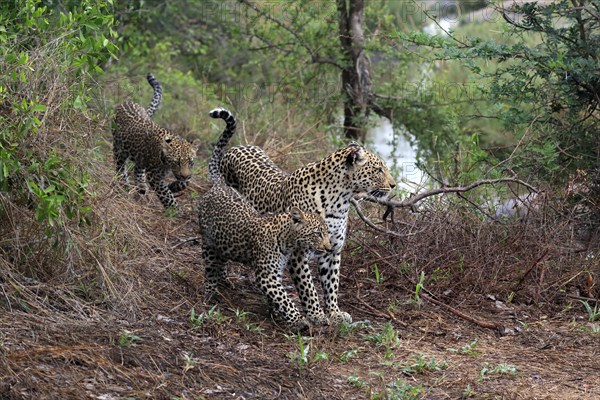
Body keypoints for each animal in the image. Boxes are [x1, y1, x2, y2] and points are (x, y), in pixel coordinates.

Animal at [198, 108, 330, 332]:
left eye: (327, 233)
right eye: (317, 234)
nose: (329, 248)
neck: (288, 240)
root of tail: (220, 185)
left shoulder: (275, 273)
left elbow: (278, 298)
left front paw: (276, 313)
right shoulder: (267, 275)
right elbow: (285, 299)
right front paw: (299, 321)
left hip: (223, 241)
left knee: (221, 260)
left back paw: (225, 282)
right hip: (207, 241)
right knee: (210, 268)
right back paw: (211, 292)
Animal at [218, 133, 396, 324]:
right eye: (378, 169)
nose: (393, 185)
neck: (340, 201)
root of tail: (237, 147)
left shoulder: (332, 249)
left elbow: (332, 282)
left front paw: (334, 312)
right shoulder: (299, 253)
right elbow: (308, 287)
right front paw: (316, 315)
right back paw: (223, 280)